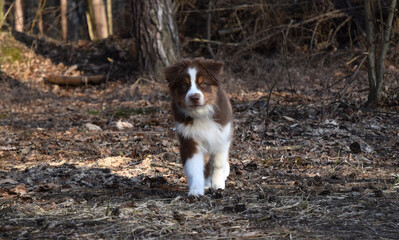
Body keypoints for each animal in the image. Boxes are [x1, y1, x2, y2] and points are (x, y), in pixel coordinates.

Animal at [165, 58, 234, 197]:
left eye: (203, 83)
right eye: (184, 85)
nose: (194, 97)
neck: (201, 113)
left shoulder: (221, 135)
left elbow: (218, 163)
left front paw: (218, 185)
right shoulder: (189, 140)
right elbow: (193, 167)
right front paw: (195, 190)